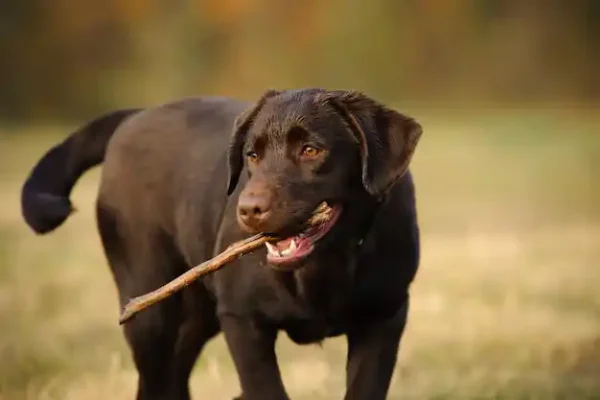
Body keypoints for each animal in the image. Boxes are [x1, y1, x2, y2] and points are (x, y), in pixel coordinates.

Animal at [22, 88, 422, 400]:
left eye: (311, 150)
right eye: (252, 155)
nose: (249, 210)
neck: (323, 267)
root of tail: (135, 115)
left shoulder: (384, 317)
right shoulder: (242, 320)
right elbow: (267, 390)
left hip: (196, 314)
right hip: (150, 308)